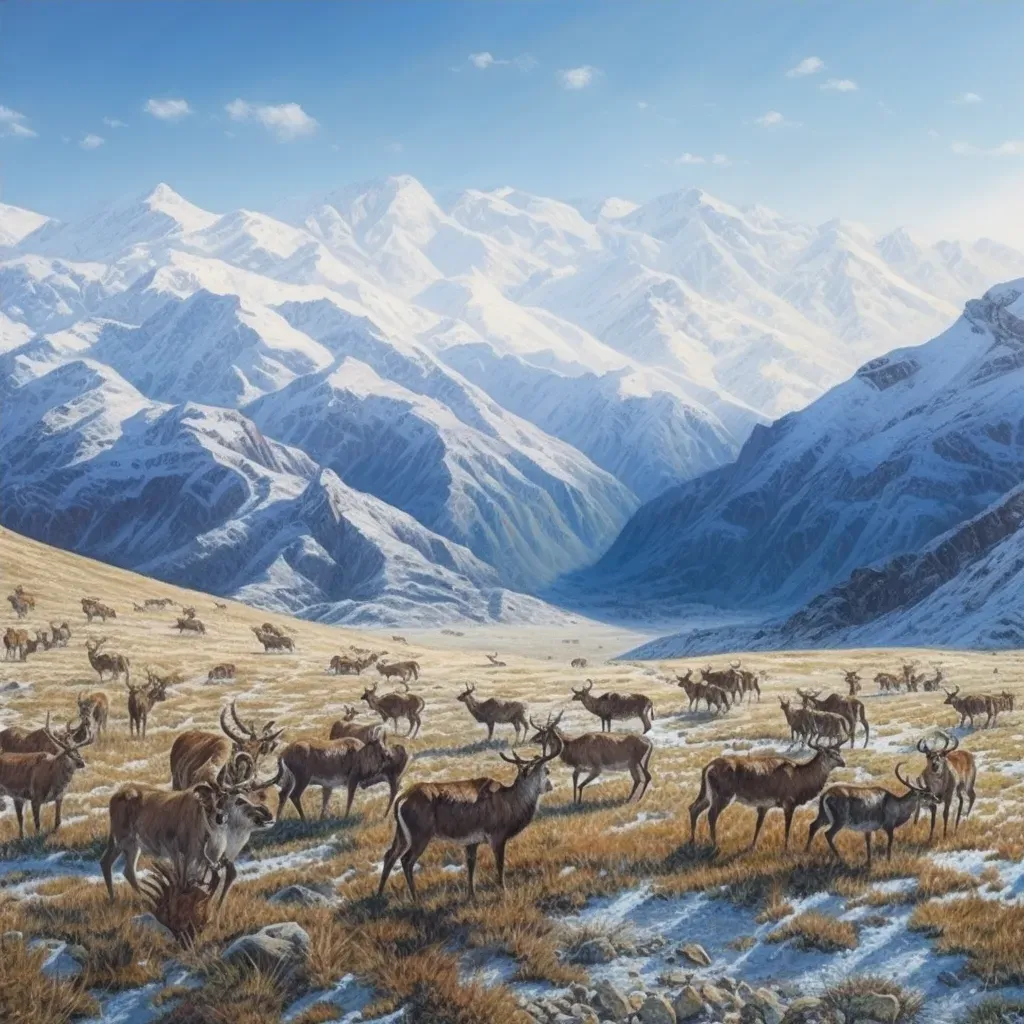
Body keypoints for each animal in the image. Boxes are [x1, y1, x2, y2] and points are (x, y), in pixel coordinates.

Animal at [378, 733, 565, 901]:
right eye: (547, 771)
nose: (550, 786)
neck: (510, 804)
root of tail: (402, 799)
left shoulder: (472, 841)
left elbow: (471, 866)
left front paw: (471, 895)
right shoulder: (497, 834)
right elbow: (500, 865)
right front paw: (504, 892)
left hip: (402, 833)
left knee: (389, 855)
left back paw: (379, 895)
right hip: (420, 833)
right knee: (406, 860)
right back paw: (415, 898)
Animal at [688, 741, 847, 851]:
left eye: (838, 752)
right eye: (830, 753)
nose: (843, 762)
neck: (801, 780)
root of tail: (708, 768)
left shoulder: (764, 805)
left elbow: (758, 825)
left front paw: (752, 846)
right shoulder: (788, 801)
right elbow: (787, 827)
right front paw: (786, 848)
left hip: (707, 793)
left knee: (693, 808)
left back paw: (692, 841)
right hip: (723, 794)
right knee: (711, 814)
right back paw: (715, 844)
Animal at [802, 765, 937, 868]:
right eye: (925, 794)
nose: (937, 799)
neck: (898, 808)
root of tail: (825, 795)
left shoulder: (868, 828)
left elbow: (868, 845)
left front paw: (869, 863)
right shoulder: (889, 824)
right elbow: (889, 844)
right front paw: (889, 862)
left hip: (823, 815)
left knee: (813, 825)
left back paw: (806, 851)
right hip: (840, 818)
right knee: (828, 834)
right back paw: (841, 859)